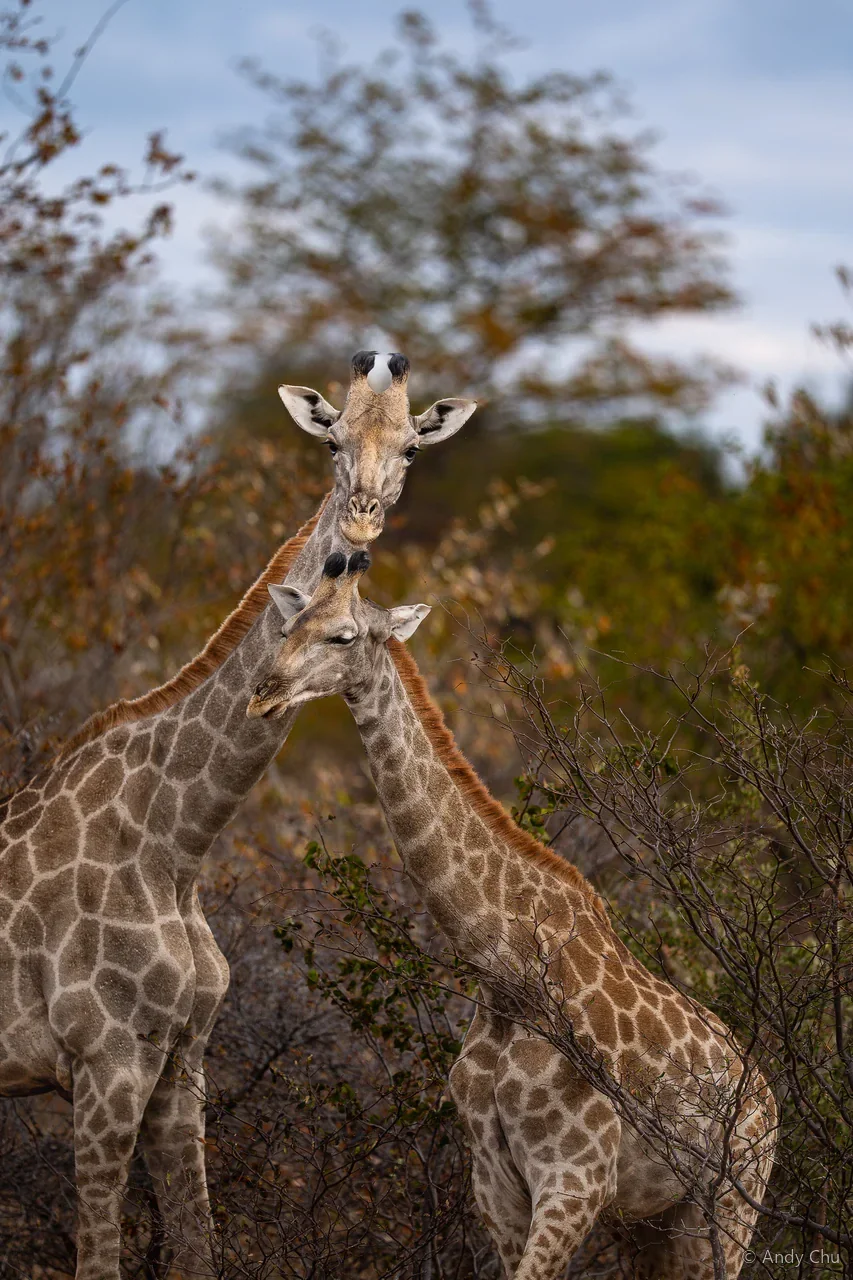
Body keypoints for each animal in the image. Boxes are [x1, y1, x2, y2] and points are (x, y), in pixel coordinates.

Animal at [0, 350, 477, 1280]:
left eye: (410, 447)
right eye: (330, 439)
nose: (359, 526)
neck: (174, 842)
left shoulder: (180, 1062)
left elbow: (195, 1248)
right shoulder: (105, 1062)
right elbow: (100, 1260)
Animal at [247, 552, 777, 1280]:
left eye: (343, 635)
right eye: (287, 625)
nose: (261, 690)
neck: (505, 969)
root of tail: (769, 1100)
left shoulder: (575, 1178)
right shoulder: (495, 1182)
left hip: (728, 1205)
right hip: (653, 1223)